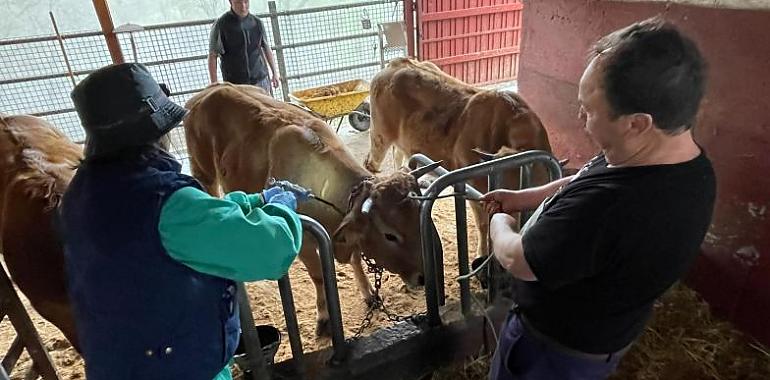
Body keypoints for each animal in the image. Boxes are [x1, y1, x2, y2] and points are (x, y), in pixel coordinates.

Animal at [182, 84, 438, 336]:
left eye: (419, 218)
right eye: (390, 235)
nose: (423, 277)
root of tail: (206, 92)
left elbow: (355, 258)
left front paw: (369, 294)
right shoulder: (305, 242)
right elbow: (319, 277)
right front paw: (324, 318)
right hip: (203, 172)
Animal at [364, 58, 552, 258]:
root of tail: (397, 63)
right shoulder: (473, 185)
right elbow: (483, 224)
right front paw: (482, 254)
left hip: (400, 142)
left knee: (398, 157)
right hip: (379, 135)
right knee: (371, 164)